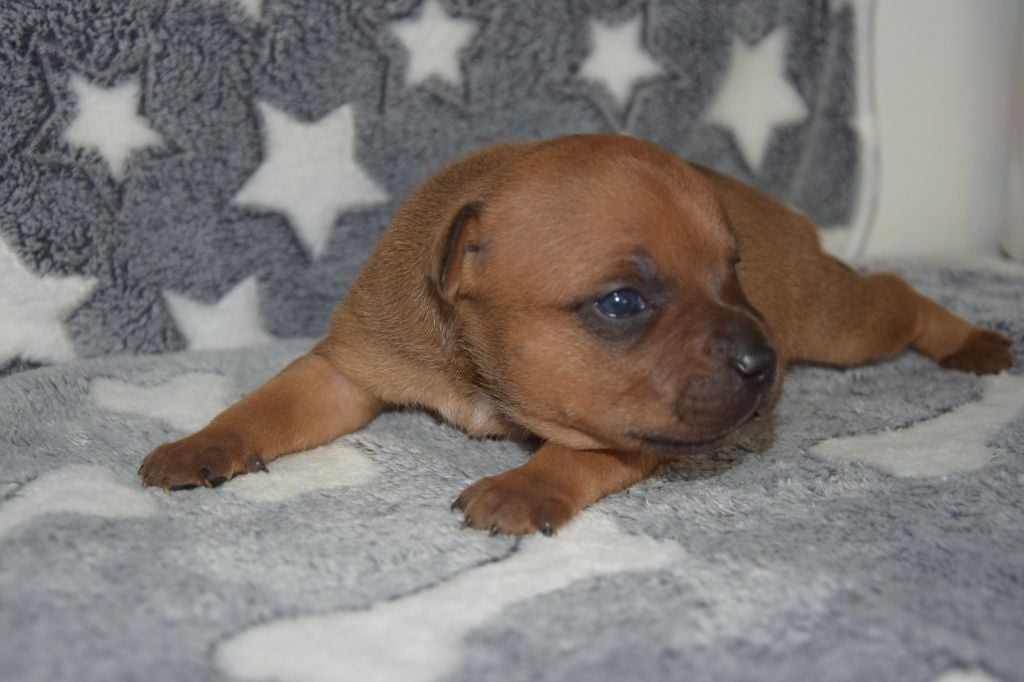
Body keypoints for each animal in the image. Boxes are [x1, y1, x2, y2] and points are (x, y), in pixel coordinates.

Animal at [139, 134, 1015, 535]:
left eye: (731, 271)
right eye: (623, 302)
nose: (763, 364)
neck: (477, 369)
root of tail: (789, 215)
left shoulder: (637, 426)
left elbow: (573, 454)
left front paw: (523, 489)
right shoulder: (347, 369)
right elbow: (263, 406)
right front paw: (200, 444)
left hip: (840, 326)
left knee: (899, 296)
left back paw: (973, 343)